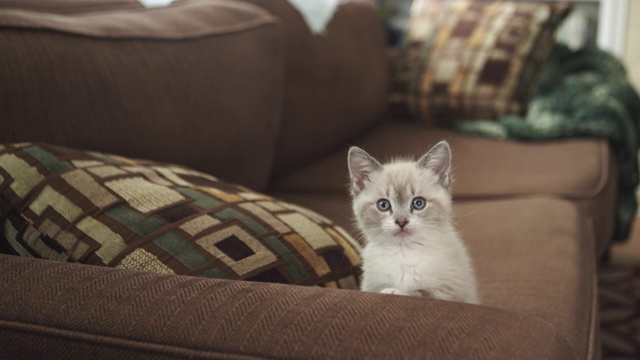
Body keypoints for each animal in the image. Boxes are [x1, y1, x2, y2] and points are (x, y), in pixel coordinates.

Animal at [348, 141, 478, 304]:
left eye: (418, 203)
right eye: (383, 205)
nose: (401, 222)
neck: (404, 252)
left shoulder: (451, 293)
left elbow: (419, 293)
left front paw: (393, 291)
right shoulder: (370, 286)